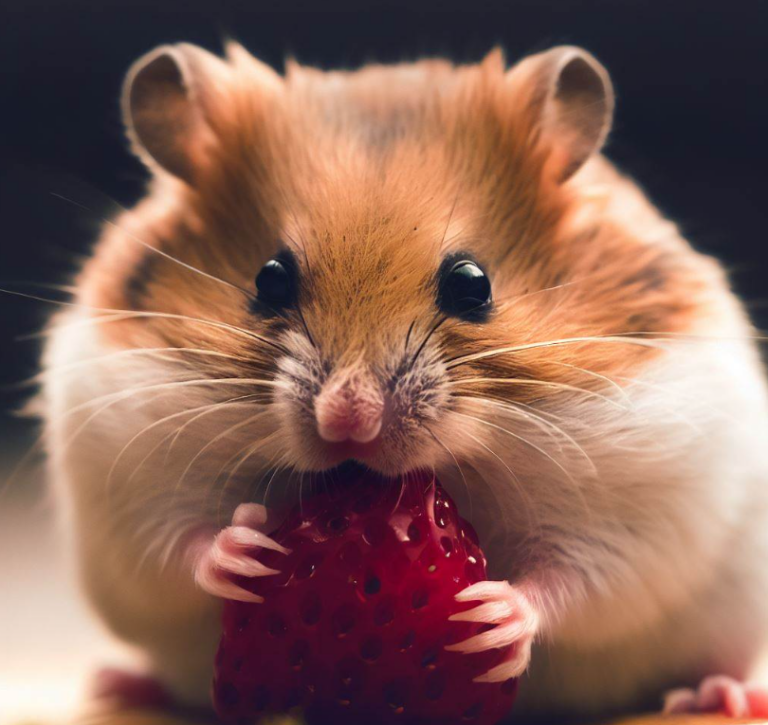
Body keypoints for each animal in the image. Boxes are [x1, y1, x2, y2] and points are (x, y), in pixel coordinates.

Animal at [41, 42, 768, 721]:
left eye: (473, 284)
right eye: (268, 280)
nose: (348, 421)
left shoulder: (639, 505)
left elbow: (576, 582)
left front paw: (490, 612)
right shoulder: (126, 472)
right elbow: (178, 543)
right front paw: (245, 549)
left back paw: (722, 694)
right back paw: (116, 683)